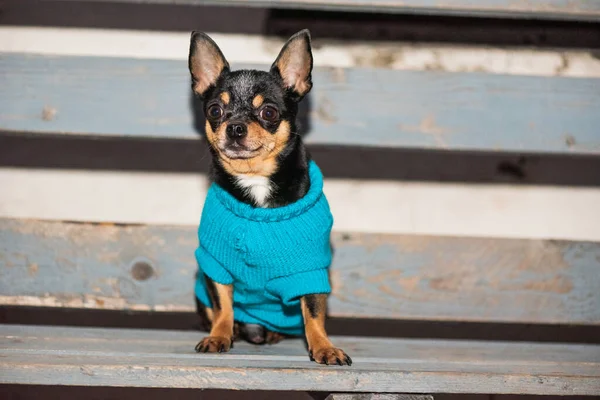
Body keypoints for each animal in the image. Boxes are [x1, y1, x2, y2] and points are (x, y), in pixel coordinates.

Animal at [188, 28, 352, 366]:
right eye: (215, 111)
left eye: (268, 112)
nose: (235, 127)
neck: (255, 180)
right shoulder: (214, 263)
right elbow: (222, 305)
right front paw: (219, 335)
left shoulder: (310, 270)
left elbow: (313, 313)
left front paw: (323, 346)